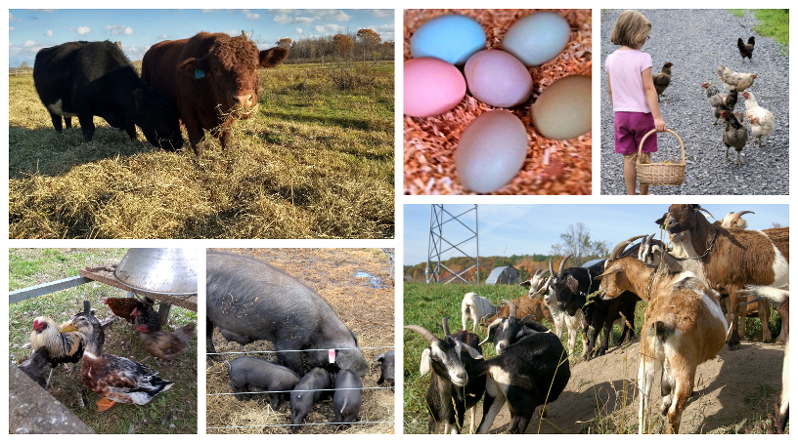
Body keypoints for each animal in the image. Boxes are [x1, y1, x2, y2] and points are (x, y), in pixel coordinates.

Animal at [32, 41, 183, 150]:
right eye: (160, 121)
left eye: (176, 119)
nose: (179, 144)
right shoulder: (83, 107)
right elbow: (88, 130)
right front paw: (88, 146)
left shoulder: (126, 114)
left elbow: (131, 128)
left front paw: (134, 141)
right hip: (49, 106)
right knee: (56, 121)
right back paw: (61, 135)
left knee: (67, 118)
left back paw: (69, 131)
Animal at [142, 31, 290, 156]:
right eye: (216, 69)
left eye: (255, 66)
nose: (243, 99)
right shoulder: (191, 117)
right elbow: (198, 144)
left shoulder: (228, 121)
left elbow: (226, 140)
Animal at [596, 234, 728, 436]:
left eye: (607, 273)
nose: (600, 292)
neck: (662, 281)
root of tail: (664, 323)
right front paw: (668, 403)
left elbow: (665, 383)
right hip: (684, 366)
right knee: (675, 412)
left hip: (646, 359)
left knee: (643, 403)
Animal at [656, 205, 788, 350]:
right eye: (669, 210)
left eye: (685, 207)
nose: (669, 224)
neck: (715, 245)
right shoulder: (717, 288)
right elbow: (721, 313)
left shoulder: (736, 285)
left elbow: (734, 313)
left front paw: (734, 341)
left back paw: (778, 338)